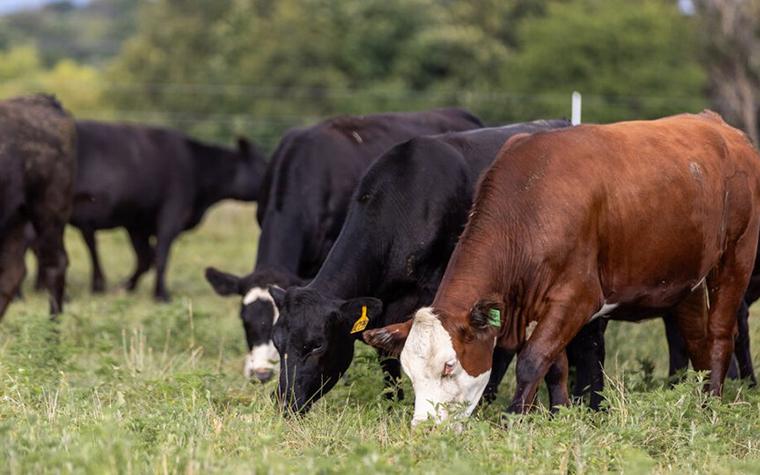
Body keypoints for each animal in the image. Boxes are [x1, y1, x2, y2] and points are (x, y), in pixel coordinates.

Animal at [62, 120, 266, 301]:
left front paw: (125, 286)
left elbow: (145, 259)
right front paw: (161, 294)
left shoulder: (137, 224)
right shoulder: (171, 215)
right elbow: (160, 256)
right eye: (262, 165)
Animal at [365, 111, 760, 425]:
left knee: (721, 335)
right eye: (409, 373)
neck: (528, 204)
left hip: (735, 258)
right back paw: (699, 401)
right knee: (697, 343)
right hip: (687, 283)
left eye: (449, 365)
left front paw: (514, 419)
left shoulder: (577, 298)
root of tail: (720, 126)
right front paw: (558, 415)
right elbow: (554, 366)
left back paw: (712, 405)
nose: (424, 429)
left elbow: (532, 359)